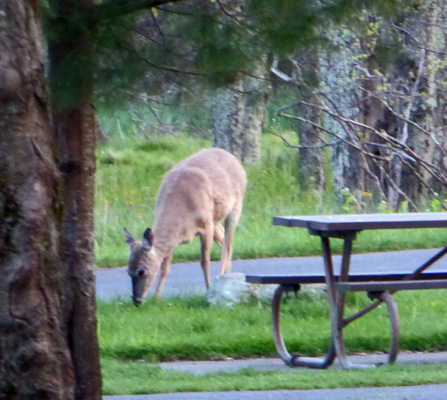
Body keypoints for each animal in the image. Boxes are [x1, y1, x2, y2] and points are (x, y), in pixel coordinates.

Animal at [124, 148, 247, 304]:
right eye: (128, 271)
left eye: (141, 271)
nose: (137, 300)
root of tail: (234, 159)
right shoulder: (175, 238)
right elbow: (165, 267)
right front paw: (157, 297)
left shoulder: (206, 225)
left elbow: (204, 261)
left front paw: (208, 290)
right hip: (216, 217)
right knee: (223, 236)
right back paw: (227, 275)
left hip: (236, 206)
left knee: (228, 244)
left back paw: (221, 277)